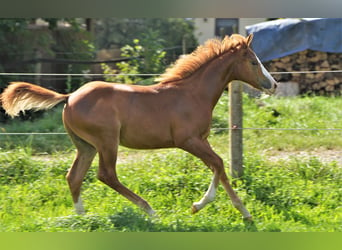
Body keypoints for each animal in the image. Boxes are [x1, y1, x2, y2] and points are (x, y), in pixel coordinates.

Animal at [1, 34, 276, 220]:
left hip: (86, 146)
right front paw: (218, 208)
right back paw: (149, 210)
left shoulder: (202, 140)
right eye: (253, 62)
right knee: (106, 175)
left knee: (74, 176)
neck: (192, 93)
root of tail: (69, 97)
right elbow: (218, 163)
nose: (273, 84)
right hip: (107, 142)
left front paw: (231, 210)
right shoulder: (188, 141)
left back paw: (83, 217)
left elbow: (217, 167)